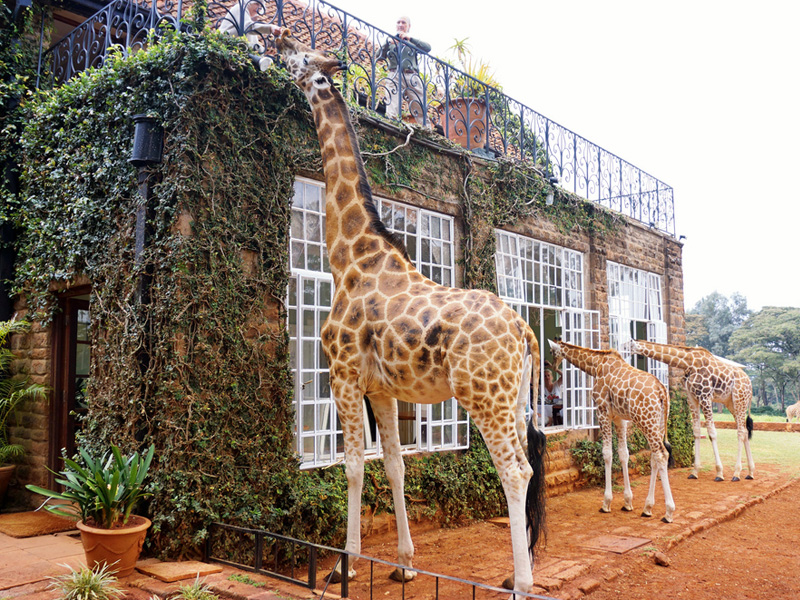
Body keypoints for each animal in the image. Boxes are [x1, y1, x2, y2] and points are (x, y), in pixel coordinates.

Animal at [275, 32, 547, 595]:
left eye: (302, 59)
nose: (277, 40)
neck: (350, 258)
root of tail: (523, 329)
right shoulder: (381, 387)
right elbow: (396, 466)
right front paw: (403, 563)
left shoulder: (343, 373)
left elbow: (353, 467)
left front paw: (342, 566)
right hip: (512, 400)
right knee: (527, 469)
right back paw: (516, 575)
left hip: (483, 396)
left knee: (514, 471)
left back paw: (521, 584)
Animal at [548, 340, 675, 522]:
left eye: (552, 351)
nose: (552, 365)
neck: (596, 366)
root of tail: (662, 391)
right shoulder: (619, 418)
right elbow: (623, 453)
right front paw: (627, 502)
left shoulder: (603, 411)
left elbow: (607, 453)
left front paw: (606, 503)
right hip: (657, 423)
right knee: (654, 457)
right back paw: (647, 508)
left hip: (646, 421)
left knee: (661, 454)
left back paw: (668, 512)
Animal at [626, 340, 755, 482]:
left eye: (627, 346)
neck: (688, 362)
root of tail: (750, 384)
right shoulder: (692, 398)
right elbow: (696, 431)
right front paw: (694, 471)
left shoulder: (705, 396)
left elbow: (712, 432)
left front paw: (719, 473)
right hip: (731, 403)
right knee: (744, 430)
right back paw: (750, 472)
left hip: (739, 399)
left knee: (740, 431)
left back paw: (736, 473)